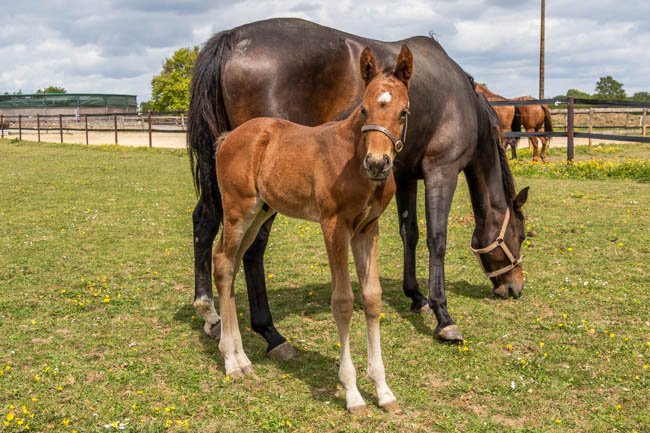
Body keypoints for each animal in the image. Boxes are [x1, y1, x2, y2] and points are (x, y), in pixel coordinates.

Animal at [188, 18, 529, 361]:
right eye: (522, 235)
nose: (515, 287)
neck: (462, 101)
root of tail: (233, 38)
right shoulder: (441, 171)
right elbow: (437, 239)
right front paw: (442, 316)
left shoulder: (404, 175)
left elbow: (410, 233)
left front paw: (416, 296)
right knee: (253, 249)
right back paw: (271, 334)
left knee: (204, 222)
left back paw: (210, 314)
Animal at [210, 47, 411, 413]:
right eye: (364, 108)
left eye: (403, 112)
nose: (378, 164)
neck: (354, 158)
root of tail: (230, 136)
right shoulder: (334, 226)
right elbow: (343, 301)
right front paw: (352, 393)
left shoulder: (367, 229)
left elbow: (372, 298)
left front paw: (384, 391)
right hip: (238, 210)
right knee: (221, 262)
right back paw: (230, 361)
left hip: (260, 211)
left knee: (230, 264)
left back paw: (242, 359)